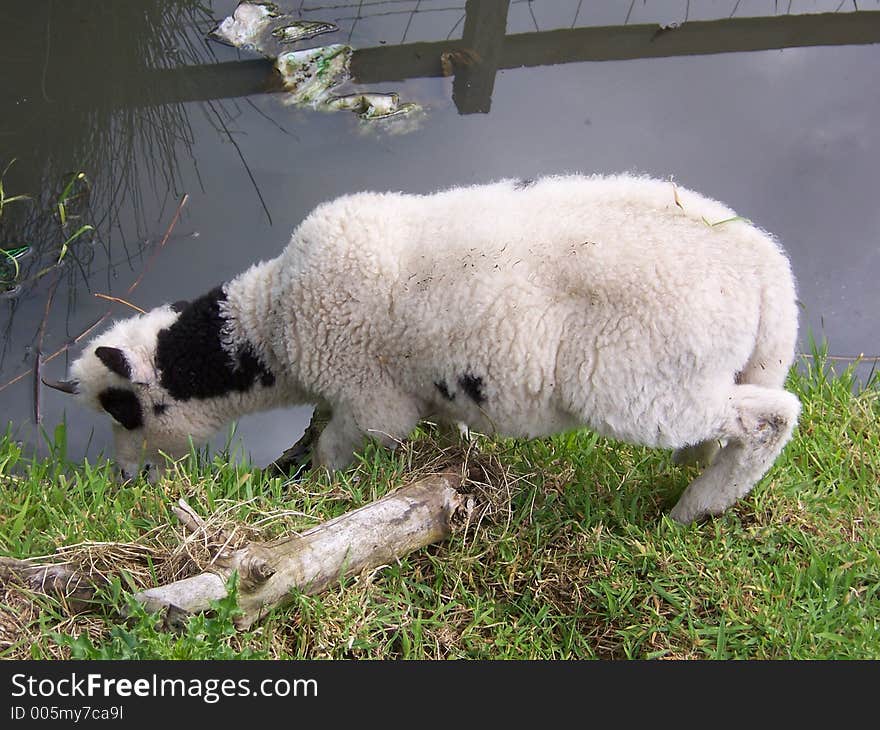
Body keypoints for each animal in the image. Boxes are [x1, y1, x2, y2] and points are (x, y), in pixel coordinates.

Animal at [49, 173, 804, 520]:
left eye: (122, 409)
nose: (122, 482)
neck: (272, 326)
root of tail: (768, 268)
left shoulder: (370, 398)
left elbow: (336, 446)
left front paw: (323, 494)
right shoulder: (421, 389)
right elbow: (435, 432)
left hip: (641, 386)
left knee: (772, 418)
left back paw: (694, 508)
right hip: (699, 374)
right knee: (731, 419)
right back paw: (693, 471)